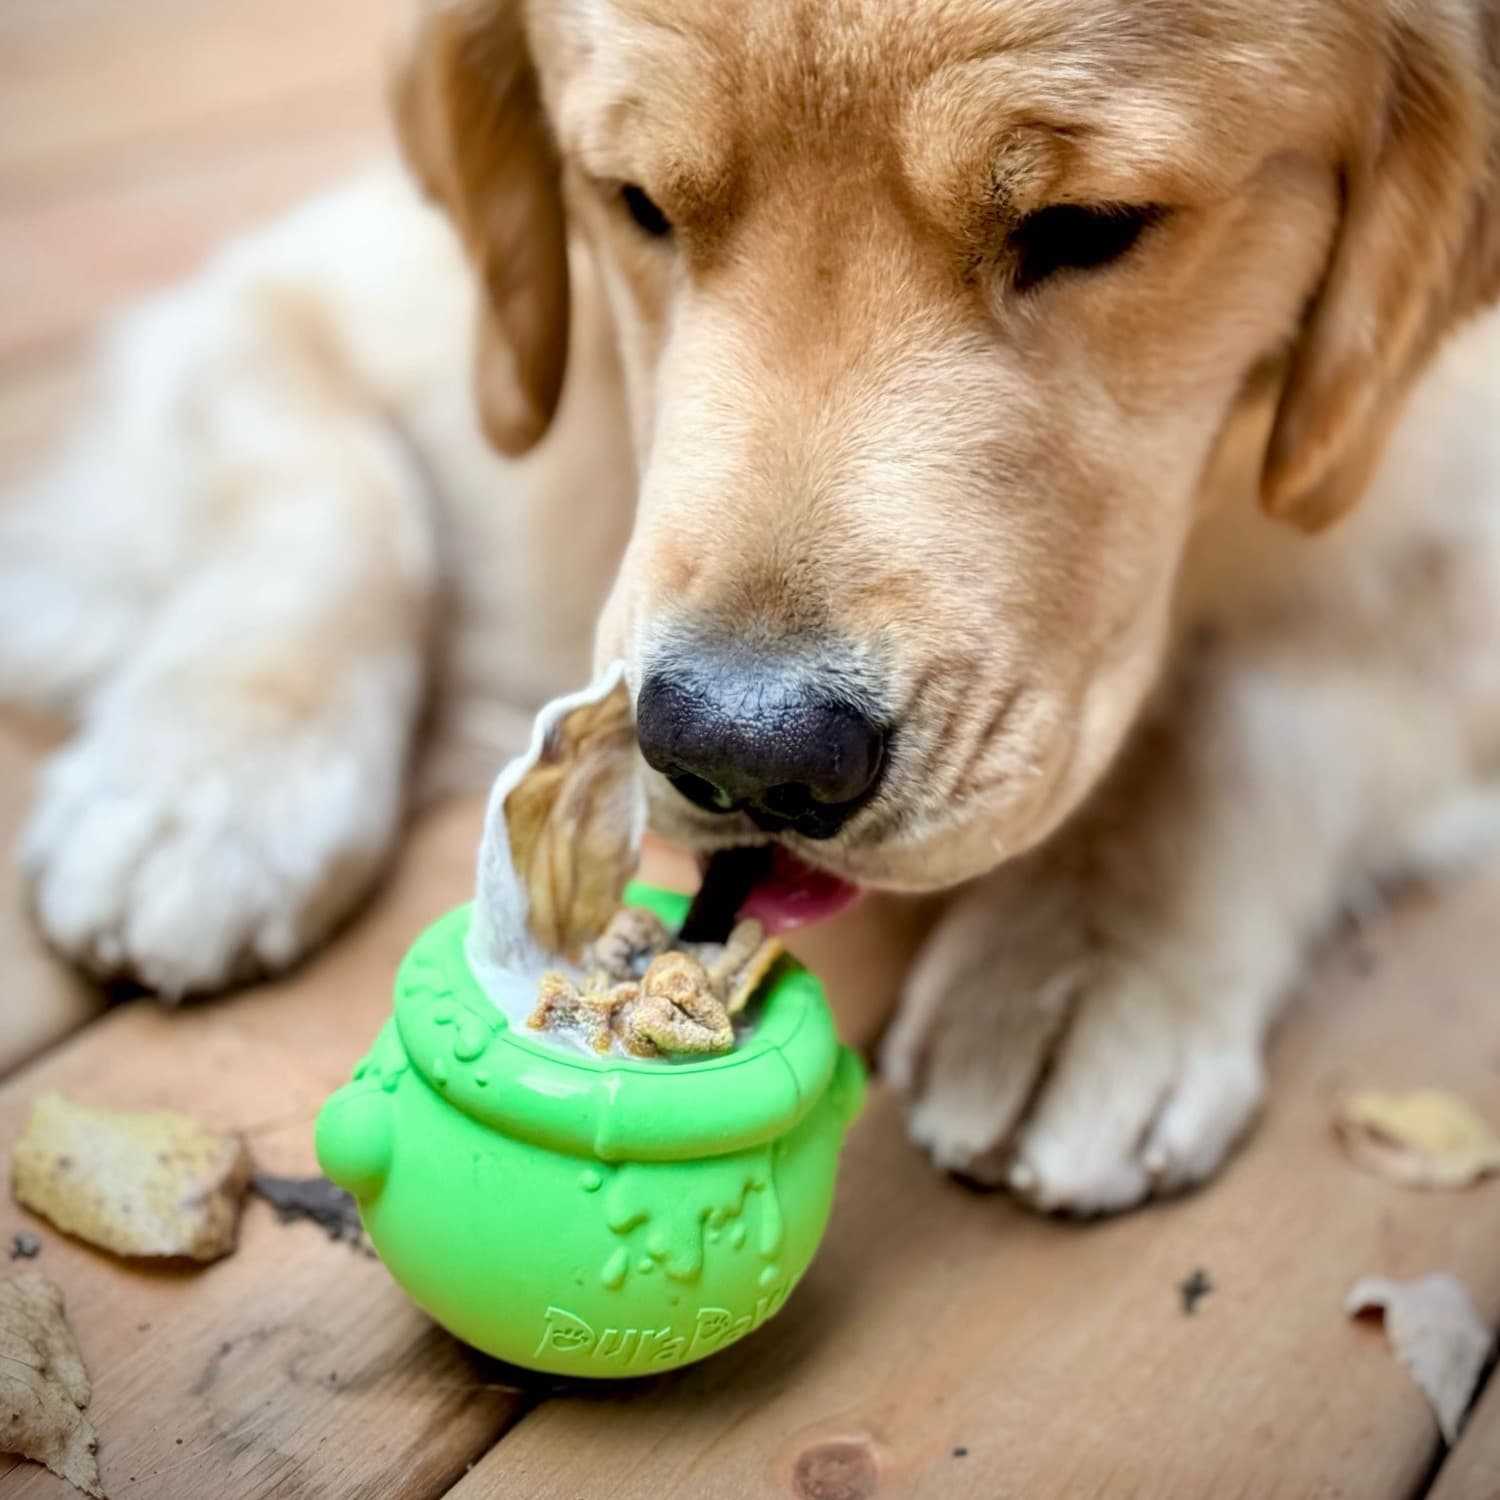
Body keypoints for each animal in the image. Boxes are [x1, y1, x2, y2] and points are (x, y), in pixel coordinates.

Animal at [2, 0, 1500, 1206]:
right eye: (631, 201)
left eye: (1090, 229)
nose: (746, 754)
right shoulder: (321, 297)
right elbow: (320, 481)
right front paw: (207, 787)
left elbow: (1241, 705)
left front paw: (1082, 962)